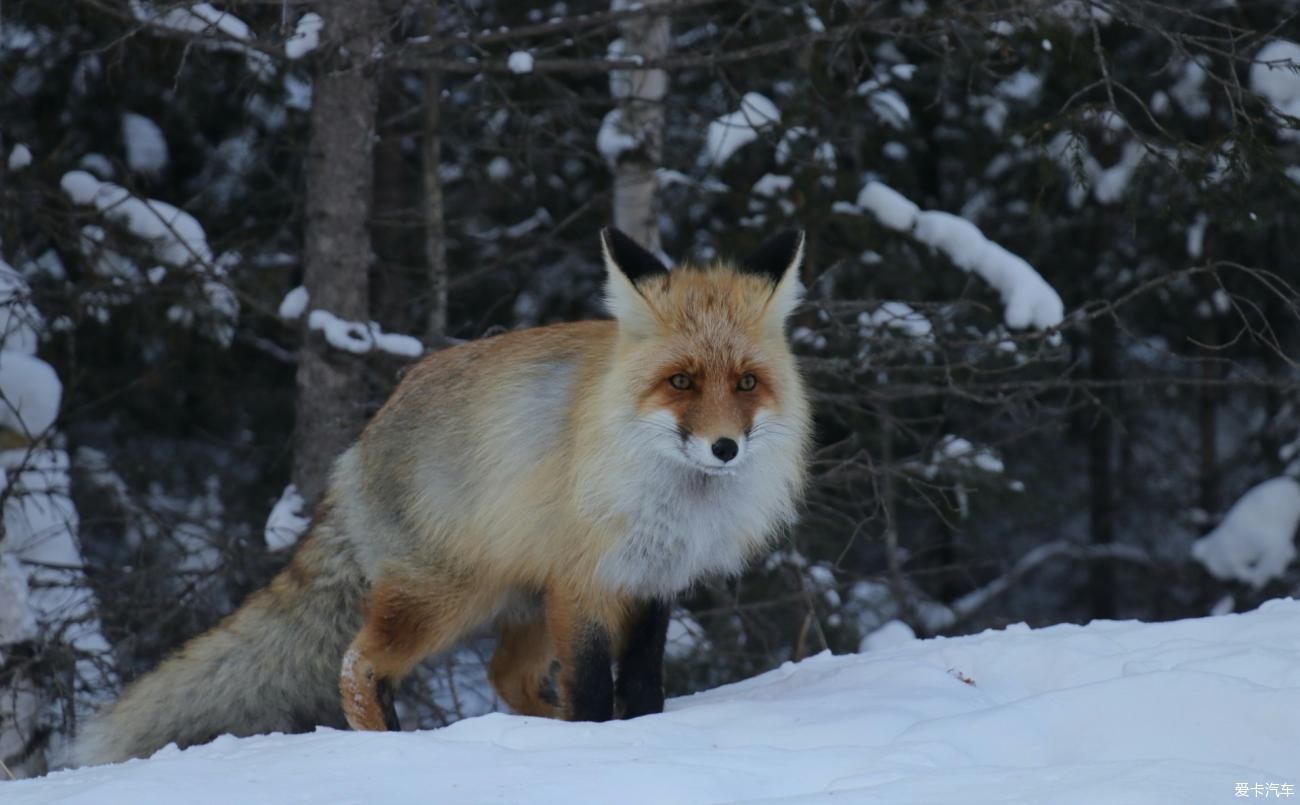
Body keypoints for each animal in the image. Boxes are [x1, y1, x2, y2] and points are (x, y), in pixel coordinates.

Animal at [71, 228, 811, 769]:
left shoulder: (653, 580)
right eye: (681, 381)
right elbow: (595, 689)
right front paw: (595, 747)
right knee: (358, 666)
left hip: (520, 601)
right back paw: (396, 745)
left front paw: (631, 736)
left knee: (504, 676)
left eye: (746, 383)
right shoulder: (585, 584)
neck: (675, 499)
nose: (724, 448)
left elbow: (642, 685)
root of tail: (360, 447)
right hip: (446, 597)